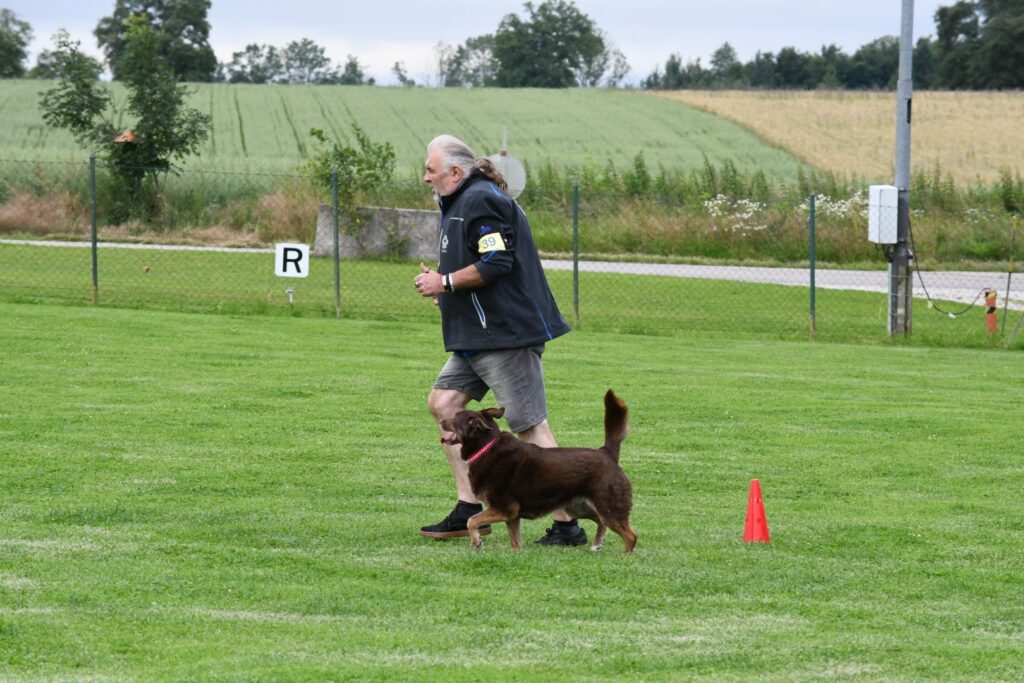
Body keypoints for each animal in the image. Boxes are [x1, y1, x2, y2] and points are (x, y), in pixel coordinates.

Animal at [439, 389, 637, 553]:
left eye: (455, 417)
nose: (441, 420)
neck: (487, 448)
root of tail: (607, 452)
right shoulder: (512, 516)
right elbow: (515, 542)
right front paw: (517, 555)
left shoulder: (504, 508)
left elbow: (471, 520)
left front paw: (477, 542)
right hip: (578, 506)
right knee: (600, 521)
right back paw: (597, 544)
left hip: (609, 507)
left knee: (631, 536)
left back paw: (625, 557)